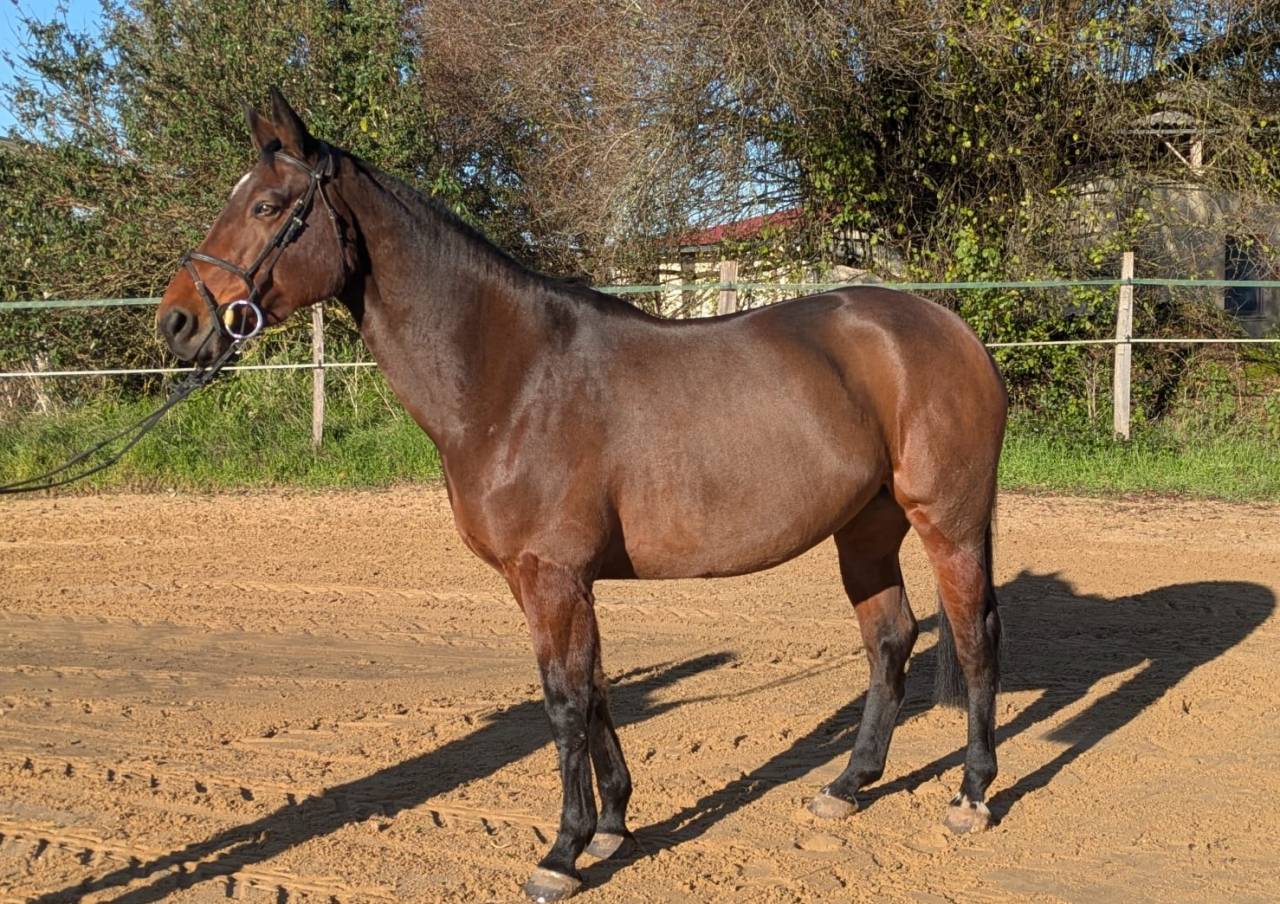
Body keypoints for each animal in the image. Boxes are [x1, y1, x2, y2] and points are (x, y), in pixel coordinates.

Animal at [156, 88, 1007, 901]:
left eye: (268, 207)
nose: (177, 321)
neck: (513, 375)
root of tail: (951, 328)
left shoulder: (553, 575)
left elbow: (563, 702)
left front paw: (561, 853)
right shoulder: (551, 581)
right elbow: (596, 687)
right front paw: (613, 827)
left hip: (949, 525)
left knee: (974, 640)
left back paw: (971, 794)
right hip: (865, 530)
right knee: (891, 639)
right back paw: (847, 786)